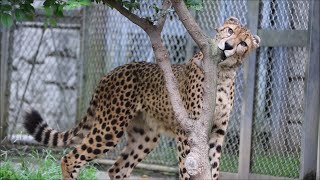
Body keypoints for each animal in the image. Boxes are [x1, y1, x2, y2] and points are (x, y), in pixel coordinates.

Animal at [24, 16, 260, 179]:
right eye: (229, 30)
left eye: (243, 44)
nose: (228, 46)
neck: (222, 73)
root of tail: (112, 71)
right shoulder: (189, 131)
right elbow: (188, 168)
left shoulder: (216, 132)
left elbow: (213, 168)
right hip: (110, 127)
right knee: (70, 158)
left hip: (144, 135)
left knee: (117, 169)